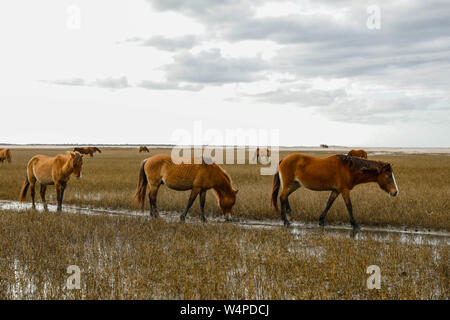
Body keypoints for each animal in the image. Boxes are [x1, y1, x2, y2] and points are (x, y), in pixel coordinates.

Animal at [270, 154, 398, 229]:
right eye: (388, 176)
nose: (395, 192)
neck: (349, 168)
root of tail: (283, 160)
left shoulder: (336, 191)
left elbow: (329, 204)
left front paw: (321, 221)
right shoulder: (344, 190)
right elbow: (349, 206)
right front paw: (355, 224)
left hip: (295, 185)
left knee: (285, 197)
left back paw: (289, 215)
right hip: (289, 184)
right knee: (282, 197)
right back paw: (285, 220)